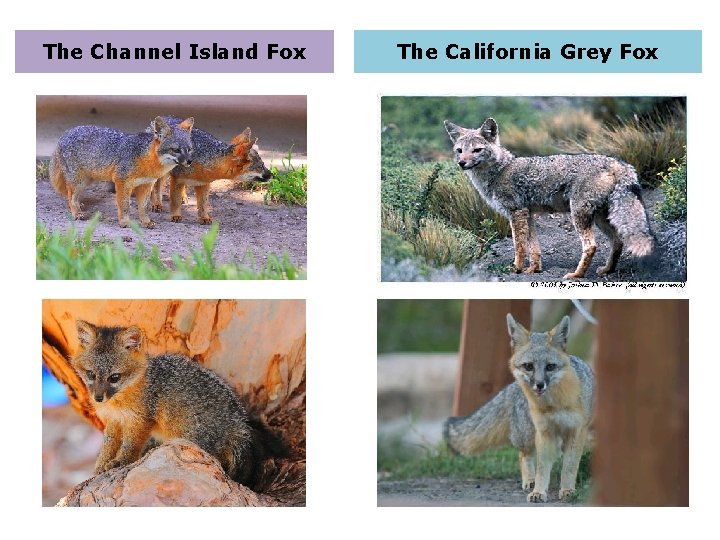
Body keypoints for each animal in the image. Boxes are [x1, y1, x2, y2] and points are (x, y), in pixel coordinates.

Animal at [50, 116, 194, 228]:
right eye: (176, 150)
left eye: (189, 149)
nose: (189, 161)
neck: (146, 158)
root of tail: (65, 133)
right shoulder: (122, 181)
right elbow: (124, 205)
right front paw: (124, 222)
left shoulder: (146, 185)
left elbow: (144, 207)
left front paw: (146, 222)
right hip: (78, 181)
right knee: (71, 196)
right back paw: (76, 212)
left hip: (86, 181)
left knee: (72, 195)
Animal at [70, 319, 284, 488]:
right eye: (91, 374)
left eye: (114, 377)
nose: (98, 398)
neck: (118, 403)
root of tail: (239, 423)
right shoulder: (115, 422)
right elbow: (107, 447)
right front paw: (99, 468)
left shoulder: (140, 420)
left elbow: (130, 446)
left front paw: (120, 462)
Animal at [443, 314, 594, 503]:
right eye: (529, 366)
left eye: (550, 366)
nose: (539, 385)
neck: (554, 404)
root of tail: (513, 386)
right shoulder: (544, 432)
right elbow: (542, 469)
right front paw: (539, 491)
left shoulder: (577, 432)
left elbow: (569, 467)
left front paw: (567, 490)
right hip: (529, 435)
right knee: (523, 455)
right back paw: (529, 480)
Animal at [444, 117, 655, 279]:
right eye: (459, 150)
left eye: (477, 150)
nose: (461, 163)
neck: (501, 170)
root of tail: (618, 162)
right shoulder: (528, 214)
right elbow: (534, 247)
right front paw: (533, 269)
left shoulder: (516, 212)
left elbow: (519, 246)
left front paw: (516, 268)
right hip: (601, 218)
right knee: (618, 241)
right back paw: (607, 270)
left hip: (579, 215)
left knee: (591, 246)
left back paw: (577, 275)